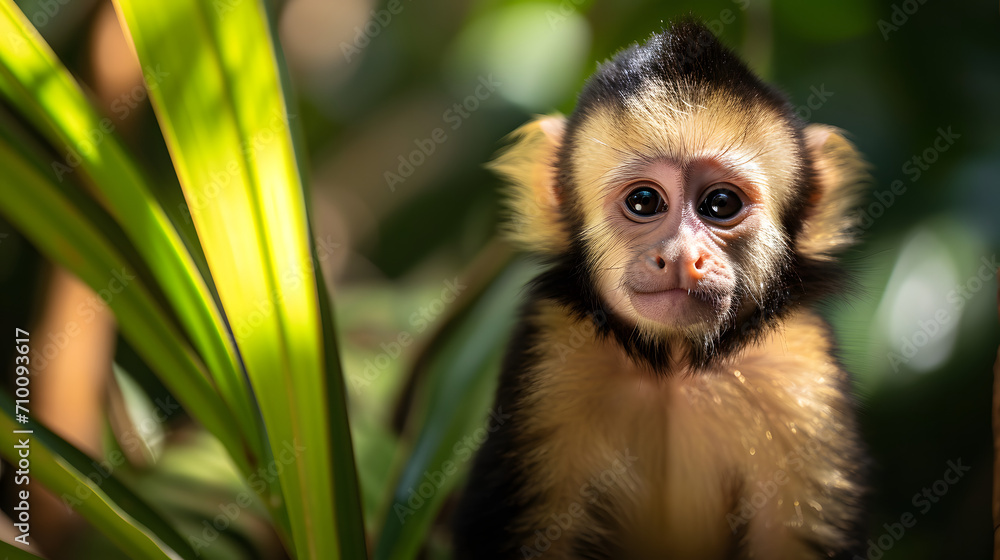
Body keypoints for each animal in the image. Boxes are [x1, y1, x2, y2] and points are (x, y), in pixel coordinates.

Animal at [450, 20, 869, 560]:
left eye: (720, 204)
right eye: (645, 201)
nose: (682, 255)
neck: (674, 367)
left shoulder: (798, 370)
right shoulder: (554, 353)